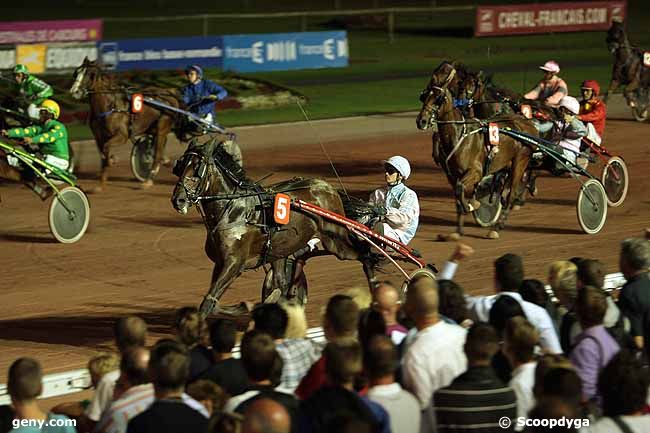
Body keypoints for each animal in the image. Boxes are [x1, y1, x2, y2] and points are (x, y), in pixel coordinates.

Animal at [70, 57, 180, 191]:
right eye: (76, 72)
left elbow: (106, 149)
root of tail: (168, 93)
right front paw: (101, 184)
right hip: (152, 127)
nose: (75, 91)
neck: (109, 106)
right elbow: (102, 154)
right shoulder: (99, 137)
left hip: (162, 127)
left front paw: (112, 160)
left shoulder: (122, 135)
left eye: (90, 74)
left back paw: (148, 180)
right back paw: (164, 161)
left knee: (157, 153)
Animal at [170, 138, 378, 318]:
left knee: (364, 256)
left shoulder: (234, 263)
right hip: (283, 249)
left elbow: (207, 303)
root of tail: (328, 187)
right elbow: (214, 303)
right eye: (180, 166)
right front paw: (247, 305)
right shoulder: (221, 262)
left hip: (336, 240)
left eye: (197, 169)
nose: (178, 200)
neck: (235, 210)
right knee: (294, 265)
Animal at [416, 62, 536, 240]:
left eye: (438, 98)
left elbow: (461, 189)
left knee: (511, 195)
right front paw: (458, 231)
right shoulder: (452, 175)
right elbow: (457, 196)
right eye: (424, 96)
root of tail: (526, 124)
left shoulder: (475, 171)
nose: (421, 121)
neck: (459, 135)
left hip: (520, 162)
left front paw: (473, 205)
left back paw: (497, 228)